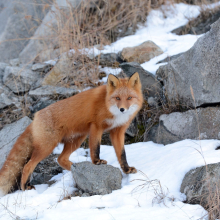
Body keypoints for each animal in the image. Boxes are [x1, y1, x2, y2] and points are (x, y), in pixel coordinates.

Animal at [0, 72, 143, 196]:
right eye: (117, 98)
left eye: (129, 98)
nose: (122, 109)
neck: (110, 107)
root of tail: (36, 116)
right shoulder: (96, 126)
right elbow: (95, 148)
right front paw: (97, 162)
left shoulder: (117, 131)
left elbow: (122, 154)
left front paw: (127, 169)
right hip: (47, 147)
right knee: (27, 166)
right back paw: (25, 187)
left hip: (76, 141)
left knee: (60, 159)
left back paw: (75, 168)